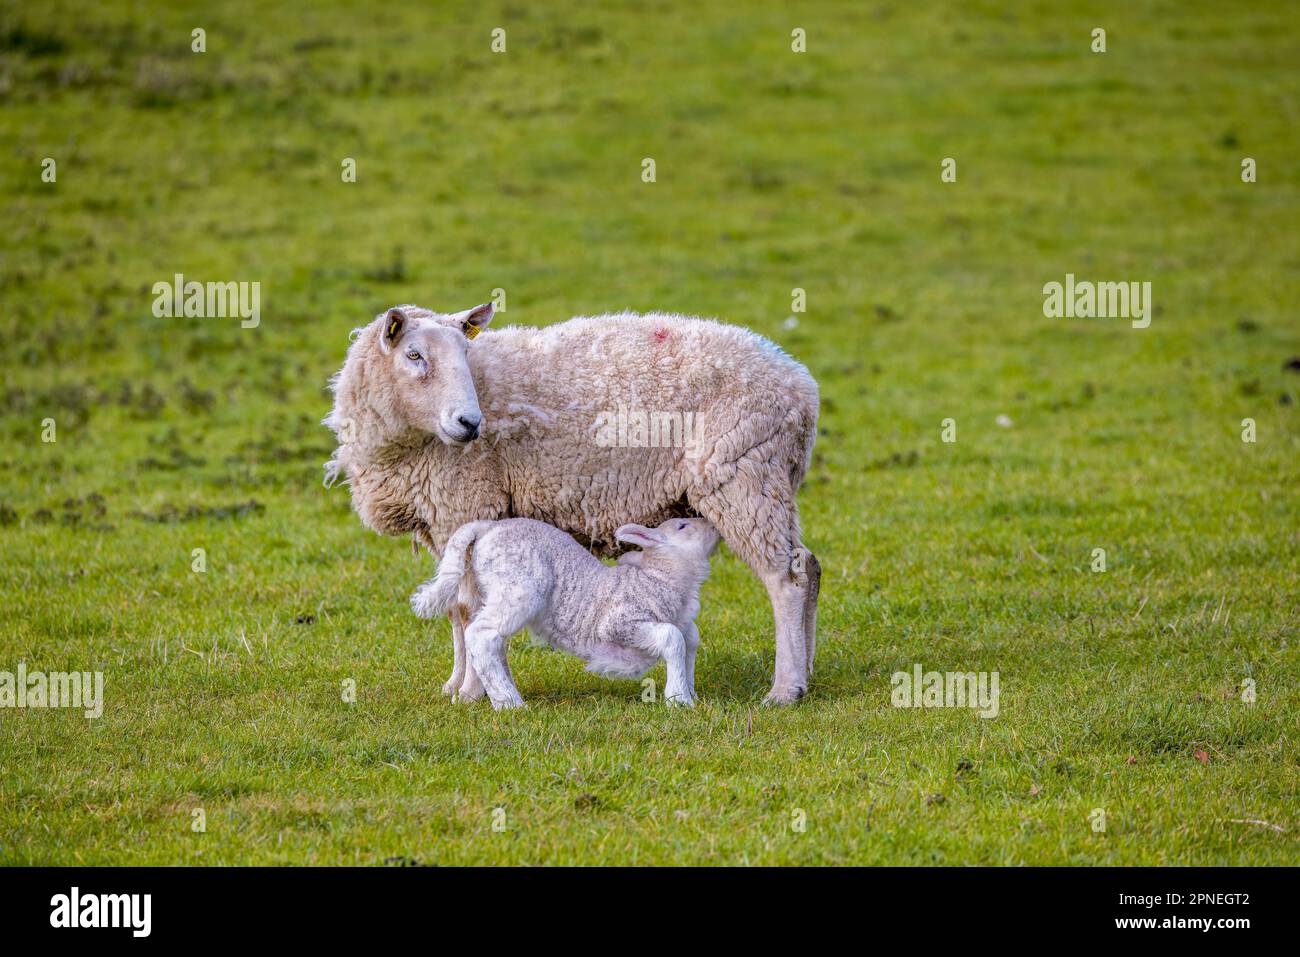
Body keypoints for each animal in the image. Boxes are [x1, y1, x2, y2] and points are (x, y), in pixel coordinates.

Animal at [410, 516, 721, 708]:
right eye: (683, 525)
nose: (713, 525)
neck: (659, 577)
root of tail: (487, 527)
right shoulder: (619, 622)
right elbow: (673, 638)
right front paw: (679, 699)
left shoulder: (684, 622)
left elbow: (690, 641)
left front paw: (690, 692)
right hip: (518, 587)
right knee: (481, 634)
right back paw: (510, 703)